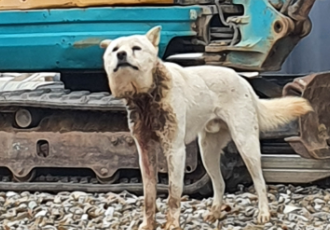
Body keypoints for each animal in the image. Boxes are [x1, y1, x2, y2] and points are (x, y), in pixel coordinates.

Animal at [99, 26, 314, 229]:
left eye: (136, 48)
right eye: (115, 50)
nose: (121, 55)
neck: (146, 97)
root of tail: (243, 81)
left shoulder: (175, 150)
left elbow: (174, 194)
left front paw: (172, 224)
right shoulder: (145, 152)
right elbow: (149, 196)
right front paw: (147, 225)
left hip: (246, 146)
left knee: (260, 182)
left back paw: (263, 213)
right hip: (207, 151)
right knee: (219, 183)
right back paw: (215, 213)